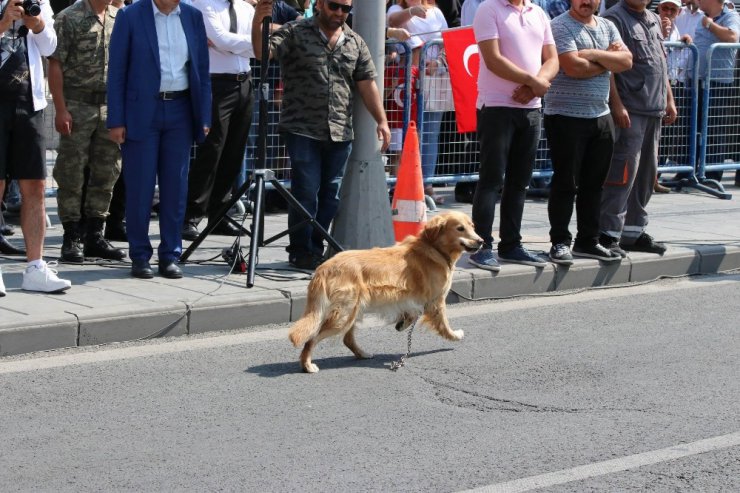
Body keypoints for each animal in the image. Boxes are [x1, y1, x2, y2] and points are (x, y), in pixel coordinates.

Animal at [286, 209, 482, 372]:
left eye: (472, 226)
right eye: (460, 228)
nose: (481, 241)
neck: (434, 248)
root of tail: (323, 268)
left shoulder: (411, 299)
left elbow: (412, 314)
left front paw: (403, 323)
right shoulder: (436, 301)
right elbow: (444, 324)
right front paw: (455, 335)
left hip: (353, 311)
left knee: (347, 339)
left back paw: (363, 354)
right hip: (343, 315)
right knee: (312, 339)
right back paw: (307, 365)